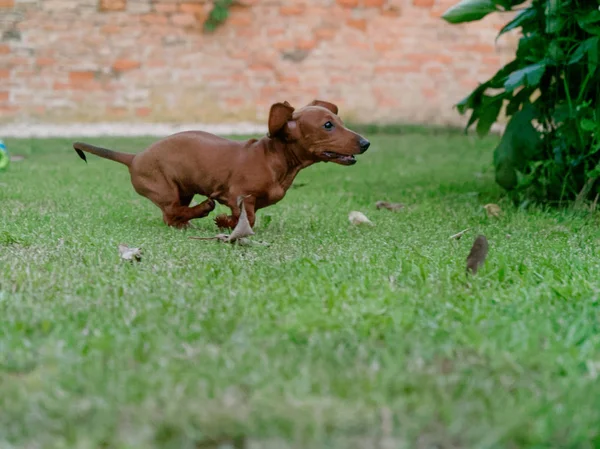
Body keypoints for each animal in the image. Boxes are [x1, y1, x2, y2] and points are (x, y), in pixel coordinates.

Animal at [72, 99, 368, 229]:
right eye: (328, 125)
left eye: (340, 121)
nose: (365, 143)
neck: (274, 159)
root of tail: (134, 157)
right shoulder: (239, 194)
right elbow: (247, 216)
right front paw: (225, 222)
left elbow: (250, 217)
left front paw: (227, 222)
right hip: (166, 190)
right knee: (171, 212)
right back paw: (202, 210)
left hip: (183, 189)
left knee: (173, 216)